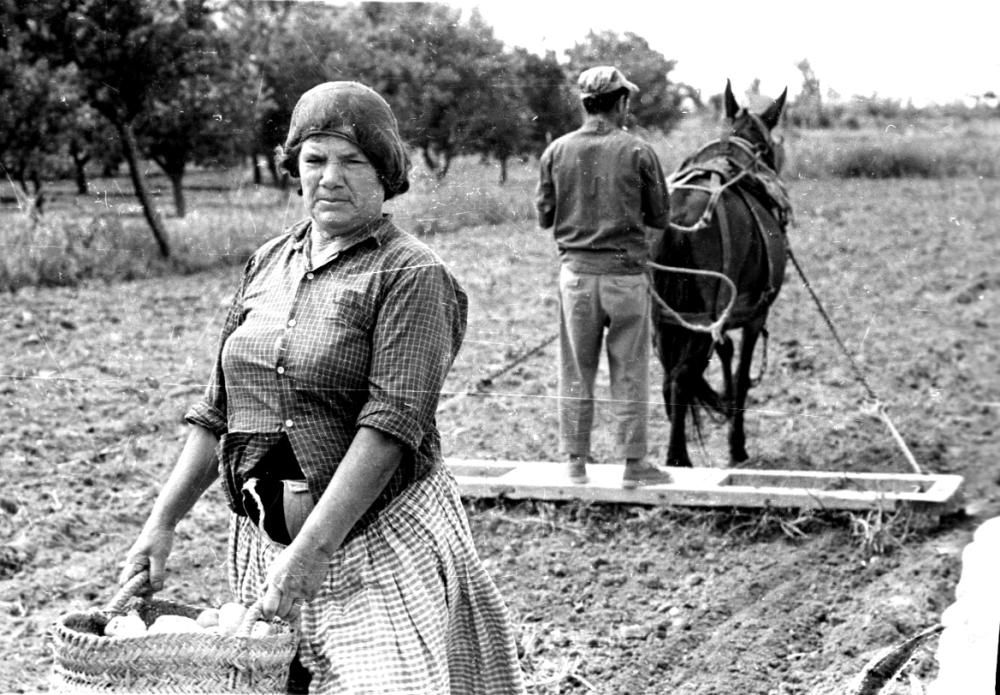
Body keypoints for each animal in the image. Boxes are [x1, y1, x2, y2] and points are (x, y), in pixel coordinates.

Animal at [652, 81, 792, 468]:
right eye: (769, 144)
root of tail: (681, 214)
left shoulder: (723, 318)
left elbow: (726, 354)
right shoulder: (756, 314)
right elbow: (742, 377)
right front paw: (737, 445)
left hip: (663, 316)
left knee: (669, 377)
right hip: (701, 317)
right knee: (682, 377)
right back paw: (678, 458)